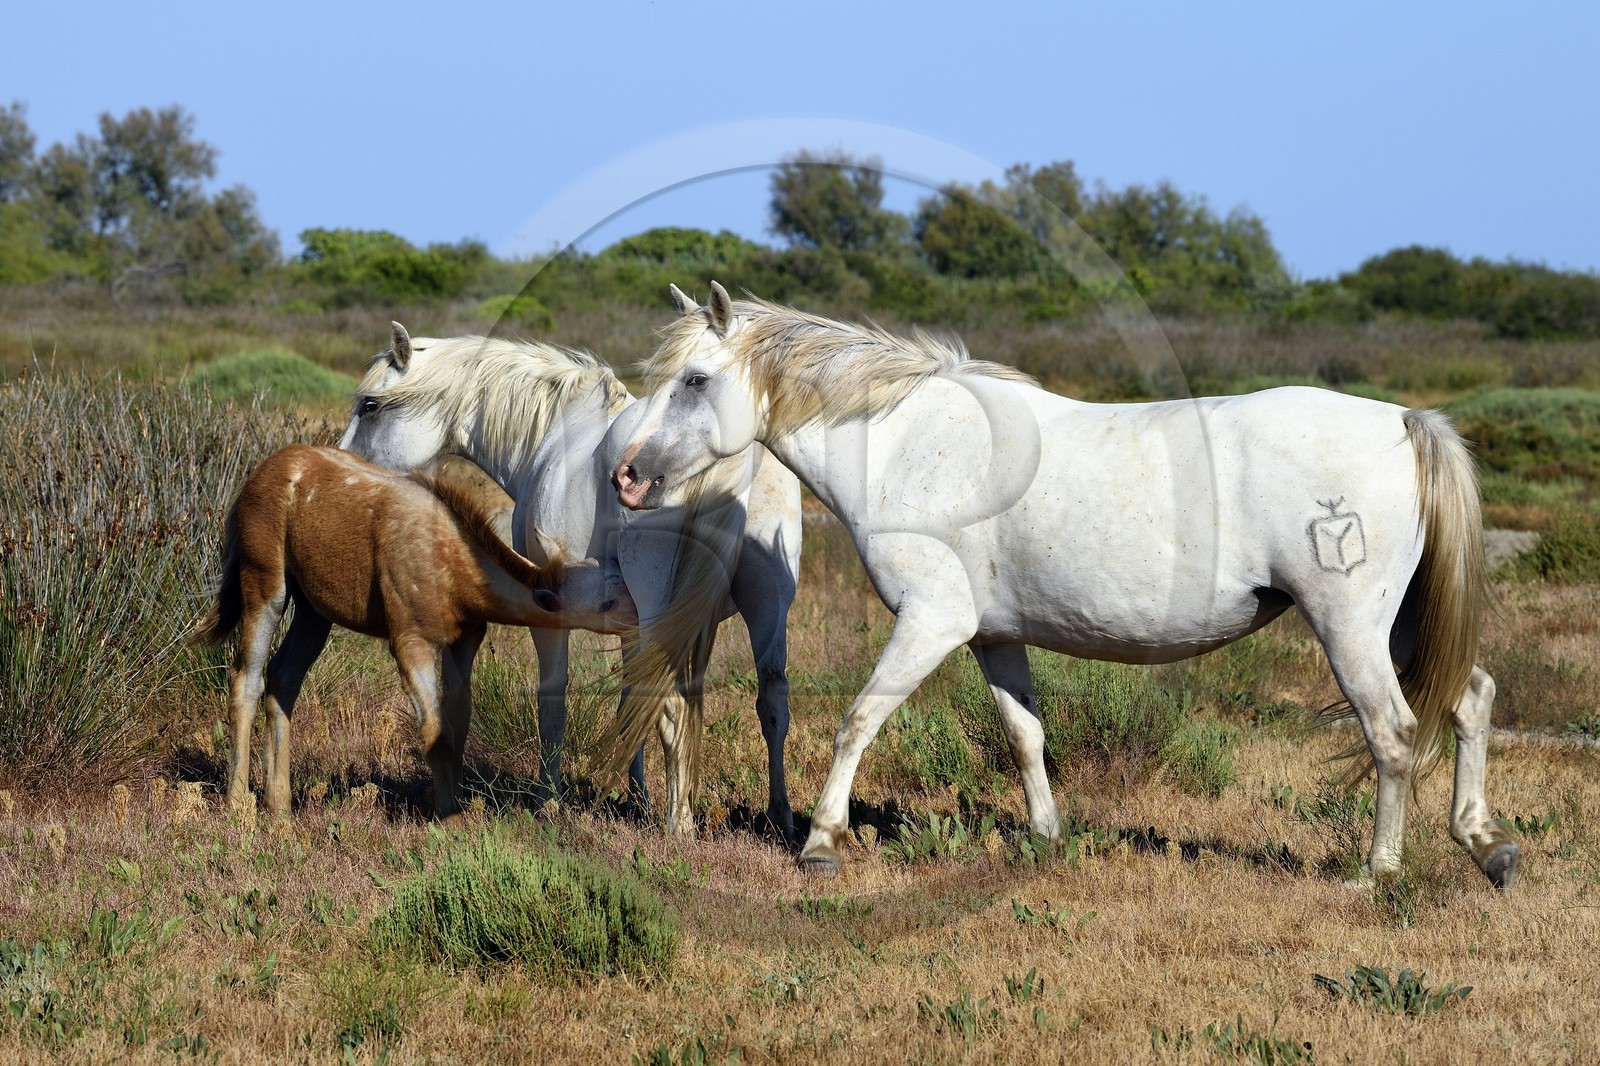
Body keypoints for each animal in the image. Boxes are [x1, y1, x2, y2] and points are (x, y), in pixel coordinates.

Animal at [194, 444, 637, 822]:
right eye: (607, 603)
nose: (645, 613)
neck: (452, 563)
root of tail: (258, 474)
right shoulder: (411, 644)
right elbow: (437, 734)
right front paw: (450, 815)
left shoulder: (464, 641)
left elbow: (458, 723)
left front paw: (456, 799)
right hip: (265, 587)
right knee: (247, 680)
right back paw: (238, 802)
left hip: (313, 613)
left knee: (283, 680)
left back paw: (279, 805)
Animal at [338, 324, 802, 838]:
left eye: (370, 406)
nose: (340, 467)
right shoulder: (629, 623)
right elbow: (630, 703)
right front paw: (634, 795)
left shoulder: (553, 613)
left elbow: (554, 704)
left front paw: (550, 803)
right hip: (765, 607)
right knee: (771, 701)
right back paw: (777, 816)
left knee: (675, 705)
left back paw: (678, 825)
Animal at [609, 281, 1517, 891]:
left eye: (693, 380)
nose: (626, 476)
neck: (909, 441)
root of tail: (1404, 421)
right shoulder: (991, 637)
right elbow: (1024, 736)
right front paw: (1045, 836)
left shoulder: (931, 622)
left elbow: (857, 720)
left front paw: (821, 841)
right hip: (1399, 626)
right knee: (1470, 698)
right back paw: (1487, 845)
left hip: (1350, 626)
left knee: (1394, 733)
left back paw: (1378, 871)